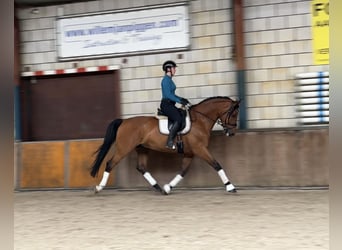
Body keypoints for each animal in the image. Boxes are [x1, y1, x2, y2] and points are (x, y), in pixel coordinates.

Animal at [89, 96, 242, 194]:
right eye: (234, 113)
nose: (232, 132)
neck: (199, 121)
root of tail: (124, 121)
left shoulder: (189, 153)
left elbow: (183, 171)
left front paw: (168, 187)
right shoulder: (200, 149)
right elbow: (216, 165)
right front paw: (230, 187)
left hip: (142, 149)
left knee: (141, 167)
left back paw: (158, 188)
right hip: (124, 148)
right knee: (110, 164)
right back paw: (98, 188)